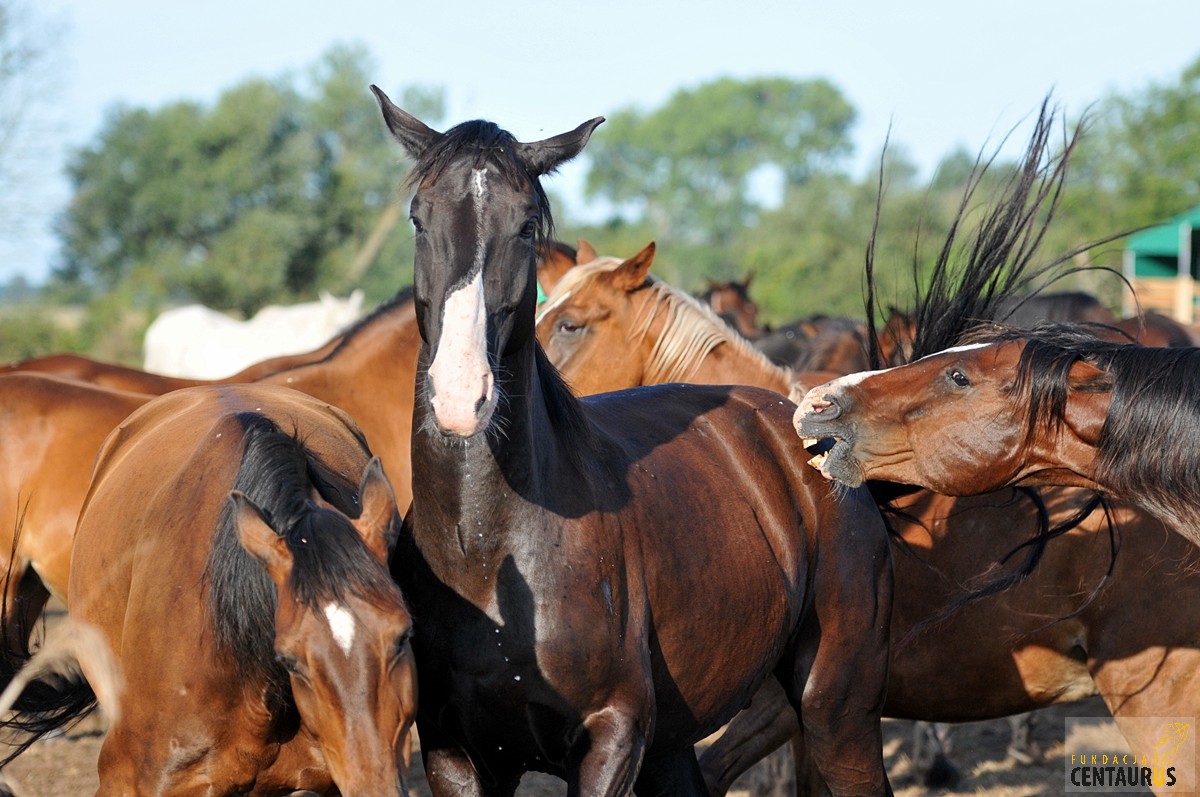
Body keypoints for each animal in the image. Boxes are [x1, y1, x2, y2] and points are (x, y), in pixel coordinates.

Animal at [369, 88, 897, 797]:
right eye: (418, 218)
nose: (460, 392)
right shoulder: (455, 753)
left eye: (527, 227)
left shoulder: (611, 737)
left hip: (837, 709)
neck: (489, 547)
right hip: (679, 742)